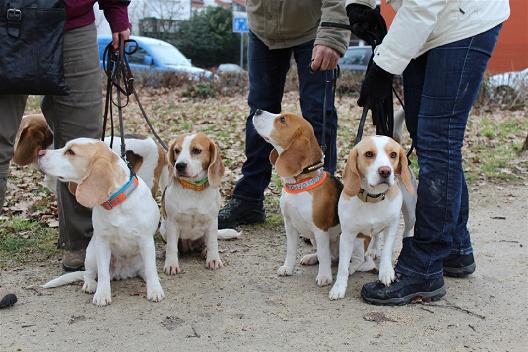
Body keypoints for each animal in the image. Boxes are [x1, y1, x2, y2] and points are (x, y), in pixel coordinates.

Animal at [39, 138, 164, 306]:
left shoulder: (146, 241)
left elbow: (151, 270)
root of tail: (122, 273)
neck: (116, 203)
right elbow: (103, 273)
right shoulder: (103, 242)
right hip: (92, 253)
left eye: (71, 152)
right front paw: (102, 294)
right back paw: (90, 285)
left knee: (145, 271)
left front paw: (155, 290)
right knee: (89, 274)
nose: (40, 152)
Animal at [160, 133, 240, 274]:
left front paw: (213, 259)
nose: (179, 165)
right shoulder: (172, 223)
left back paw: (205, 251)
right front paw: (171, 264)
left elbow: (213, 243)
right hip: (163, 228)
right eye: (176, 150)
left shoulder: (212, 221)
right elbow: (172, 247)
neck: (193, 188)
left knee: (207, 243)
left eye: (196, 150)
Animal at [255, 110, 352, 286]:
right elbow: (291, 250)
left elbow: (323, 253)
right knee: (330, 256)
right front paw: (288, 268)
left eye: (283, 120)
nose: (257, 110)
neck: (299, 184)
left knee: (335, 257)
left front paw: (324, 276)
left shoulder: (320, 229)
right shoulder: (289, 224)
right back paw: (311, 258)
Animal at [330, 135, 416, 300]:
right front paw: (338, 287)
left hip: (410, 214)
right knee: (375, 235)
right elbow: (343, 266)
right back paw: (373, 249)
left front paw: (386, 272)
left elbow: (387, 250)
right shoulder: (347, 235)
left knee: (407, 232)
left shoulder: (392, 227)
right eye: (369, 154)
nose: (385, 171)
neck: (373, 198)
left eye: (393, 154)